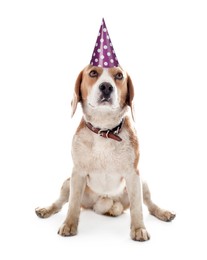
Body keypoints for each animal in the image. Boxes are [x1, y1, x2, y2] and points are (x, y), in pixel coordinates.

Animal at [35, 65, 175, 242]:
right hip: (68, 183)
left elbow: (137, 207)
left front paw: (139, 228)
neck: (105, 130)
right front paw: (69, 224)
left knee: (149, 205)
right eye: (93, 72)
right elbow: (73, 204)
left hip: (143, 183)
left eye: (119, 76)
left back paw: (163, 212)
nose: (107, 87)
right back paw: (47, 209)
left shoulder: (133, 175)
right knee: (60, 203)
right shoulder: (77, 173)